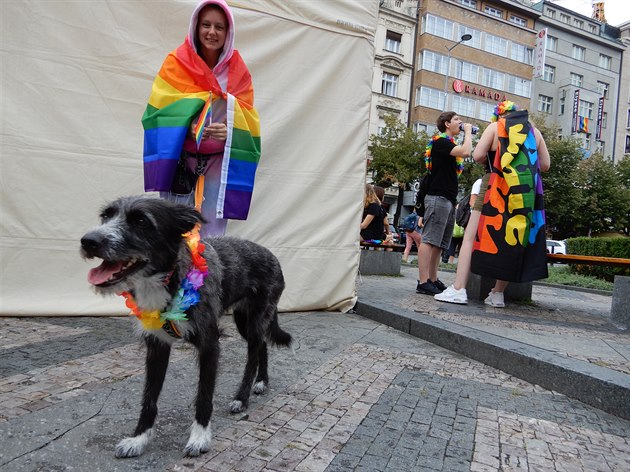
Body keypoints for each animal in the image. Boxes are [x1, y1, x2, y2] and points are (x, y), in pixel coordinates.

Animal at [79, 195, 294, 458]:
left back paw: (242, 398)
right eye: (106, 216)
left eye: (141, 221)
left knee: (253, 355)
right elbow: (149, 398)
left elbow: (204, 395)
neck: (168, 279)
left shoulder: (210, 345)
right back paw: (261, 382)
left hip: (255, 318)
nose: (89, 241)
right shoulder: (157, 346)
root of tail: (271, 255)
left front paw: (200, 438)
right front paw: (139, 438)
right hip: (245, 321)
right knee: (261, 345)